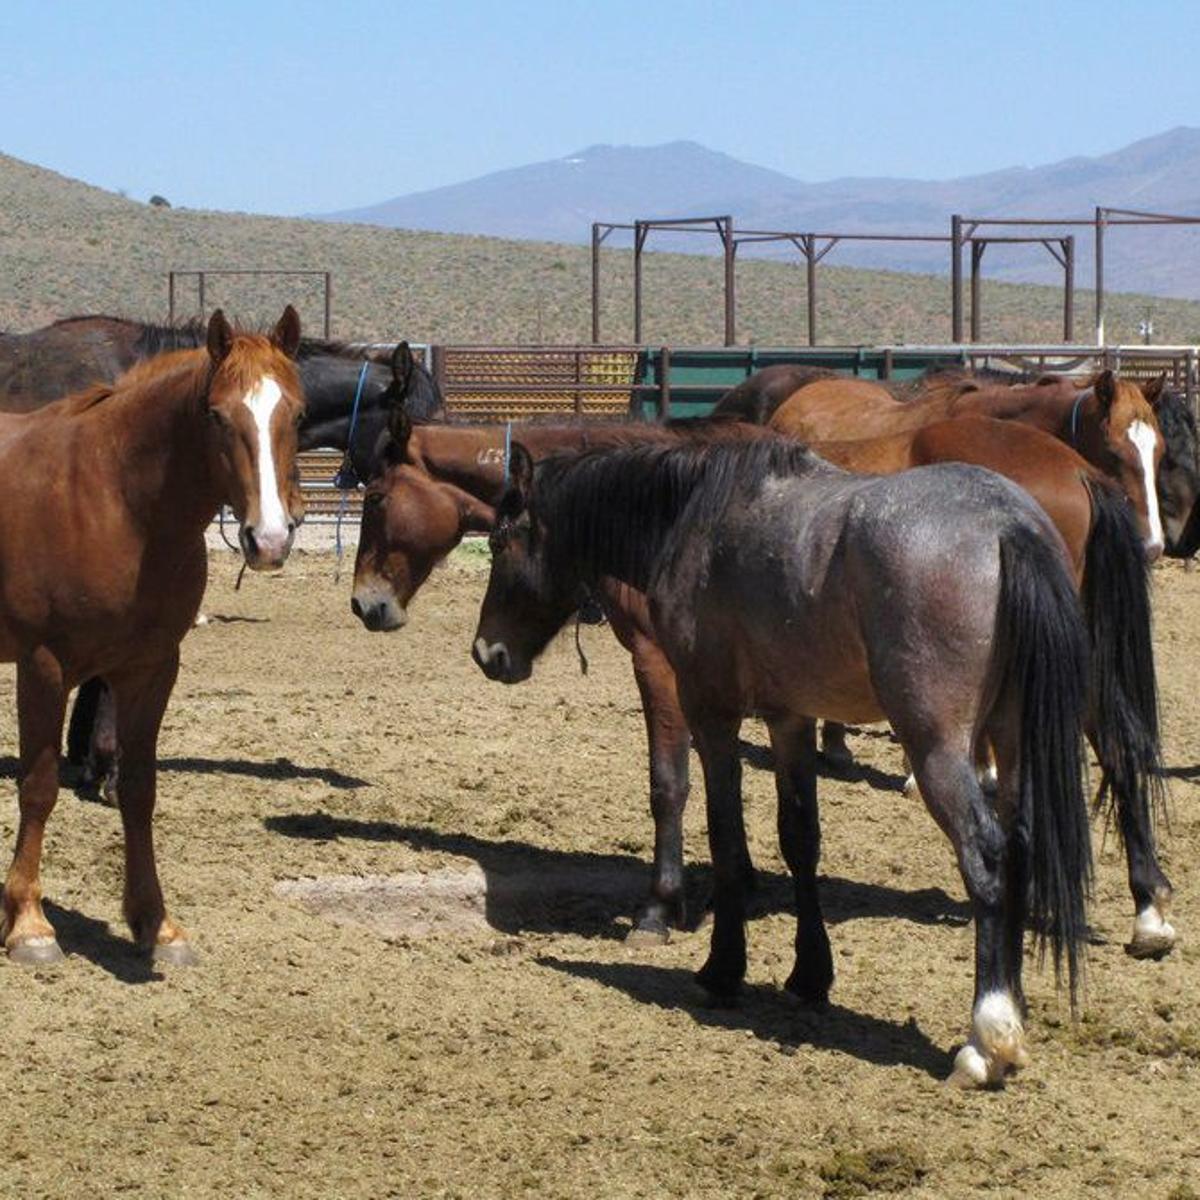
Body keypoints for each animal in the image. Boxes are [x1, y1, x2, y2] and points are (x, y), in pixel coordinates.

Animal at [0, 308, 306, 965]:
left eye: (296, 413)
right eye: (216, 415)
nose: (269, 540)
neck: (115, 500)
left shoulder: (153, 667)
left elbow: (140, 789)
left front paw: (156, 925)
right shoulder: (44, 665)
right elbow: (39, 787)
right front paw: (30, 924)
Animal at [472, 438, 1093, 1087]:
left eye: (499, 542)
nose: (487, 652)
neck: (693, 516)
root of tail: (1006, 524)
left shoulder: (709, 710)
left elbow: (723, 832)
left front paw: (722, 969)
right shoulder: (790, 719)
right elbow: (800, 839)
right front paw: (809, 976)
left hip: (939, 750)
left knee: (987, 856)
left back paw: (986, 1038)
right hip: (1012, 742)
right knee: (1020, 847)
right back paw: (1014, 1011)